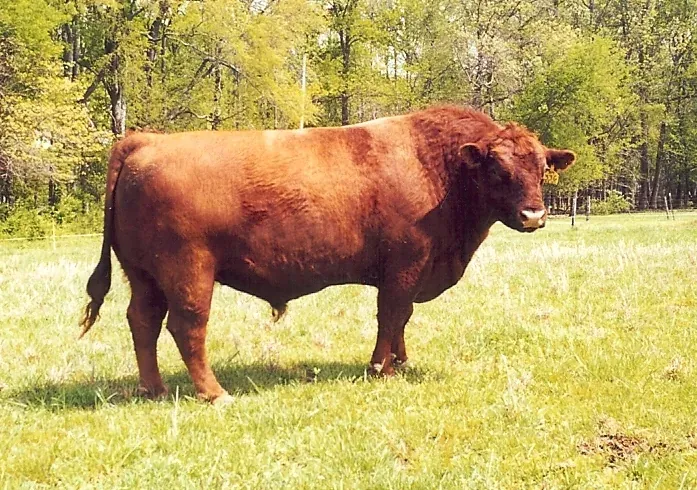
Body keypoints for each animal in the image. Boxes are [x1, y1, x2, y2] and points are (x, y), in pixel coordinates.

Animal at [81, 106, 575, 404]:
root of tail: (147, 141)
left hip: (144, 276)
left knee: (142, 322)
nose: (534, 214)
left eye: (541, 168)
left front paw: (400, 361)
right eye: (497, 169)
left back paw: (155, 389)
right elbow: (391, 315)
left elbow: (402, 319)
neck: (435, 167)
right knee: (187, 327)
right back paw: (214, 393)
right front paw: (381, 368)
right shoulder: (403, 267)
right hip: (189, 273)